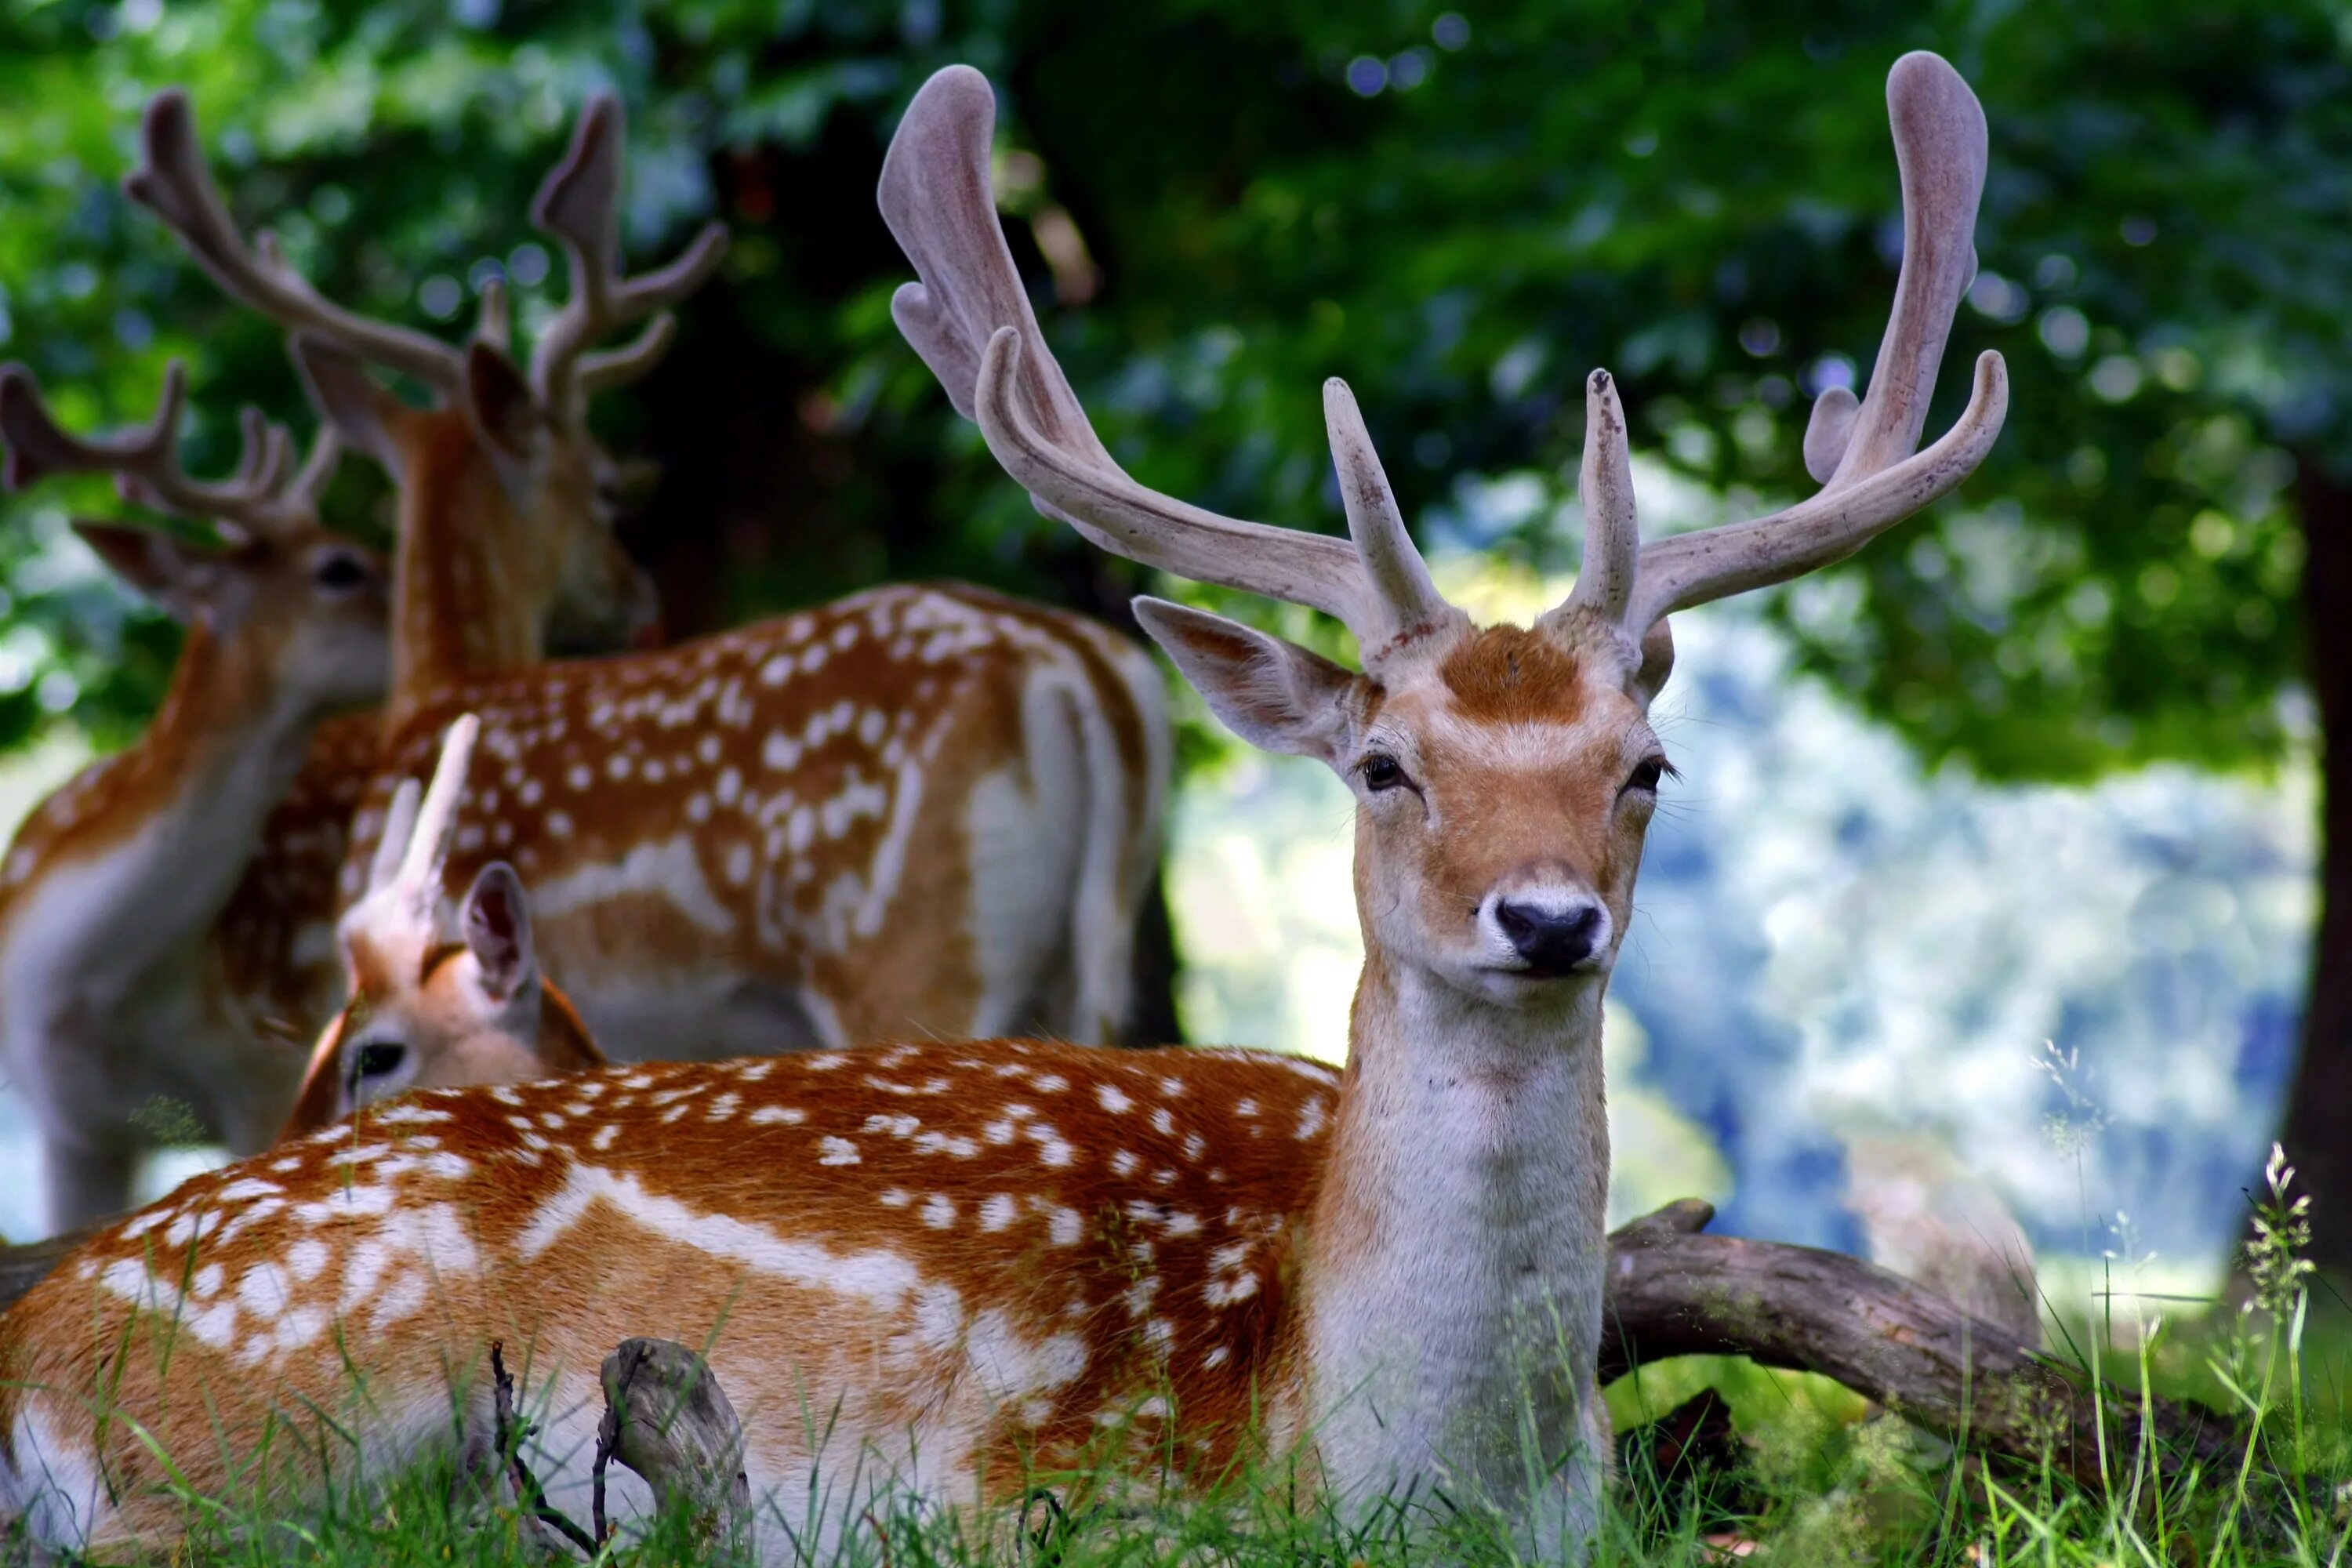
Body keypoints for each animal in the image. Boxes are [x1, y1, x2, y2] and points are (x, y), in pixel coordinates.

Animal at [124, 89, 1171, 1067]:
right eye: (602, 486)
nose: (635, 593)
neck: (436, 689)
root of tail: (1086, 674)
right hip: (1084, 960)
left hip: (911, 948)